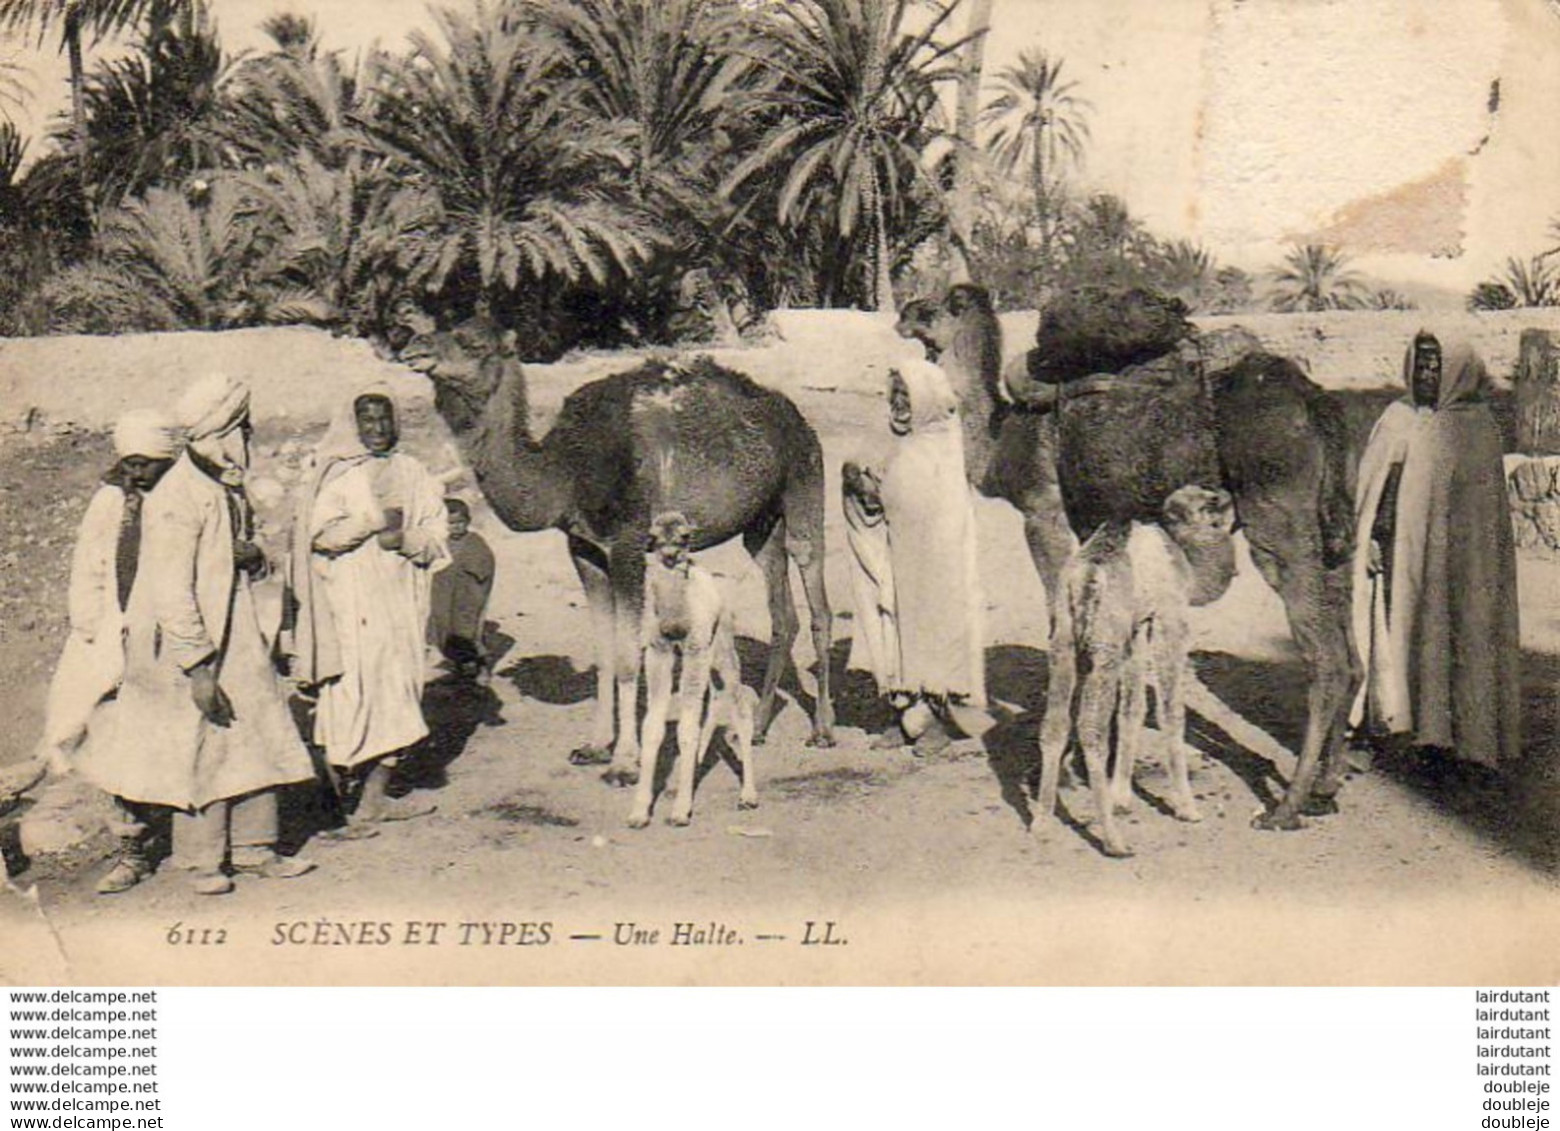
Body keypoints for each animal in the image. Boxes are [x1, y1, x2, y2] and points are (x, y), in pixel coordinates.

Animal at [627, 511, 761, 829]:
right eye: (653, 536)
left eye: (685, 536)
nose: (670, 555)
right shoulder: (658, 651)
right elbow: (652, 726)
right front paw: (639, 812)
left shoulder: (694, 649)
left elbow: (686, 727)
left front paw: (680, 812)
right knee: (713, 702)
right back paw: (691, 773)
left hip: (722, 648)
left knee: (738, 706)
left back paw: (748, 796)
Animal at [1029, 483, 1235, 854]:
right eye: (1209, 502)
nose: (1225, 494)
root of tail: (1086, 577)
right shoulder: (1170, 617)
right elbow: (1171, 712)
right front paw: (1187, 808)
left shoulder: (1137, 626)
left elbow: (1132, 708)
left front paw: (1122, 795)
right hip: (1104, 646)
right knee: (1091, 728)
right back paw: (1113, 840)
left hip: (1064, 640)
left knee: (1054, 724)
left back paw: (1041, 823)